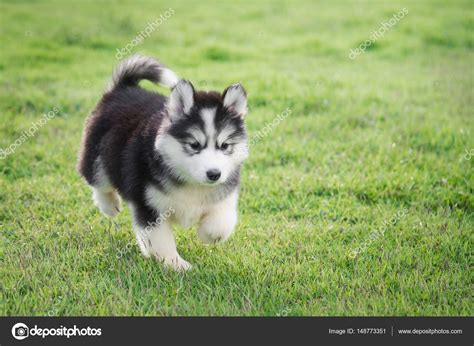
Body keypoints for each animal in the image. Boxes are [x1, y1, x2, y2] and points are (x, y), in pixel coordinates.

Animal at [78, 54, 248, 270]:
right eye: (194, 144)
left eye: (225, 145)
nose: (214, 174)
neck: (190, 183)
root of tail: (125, 87)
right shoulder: (149, 206)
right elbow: (161, 240)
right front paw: (176, 264)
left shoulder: (223, 194)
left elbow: (221, 224)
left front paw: (207, 235)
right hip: (96, 155)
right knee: (98, 181)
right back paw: (109, 205)